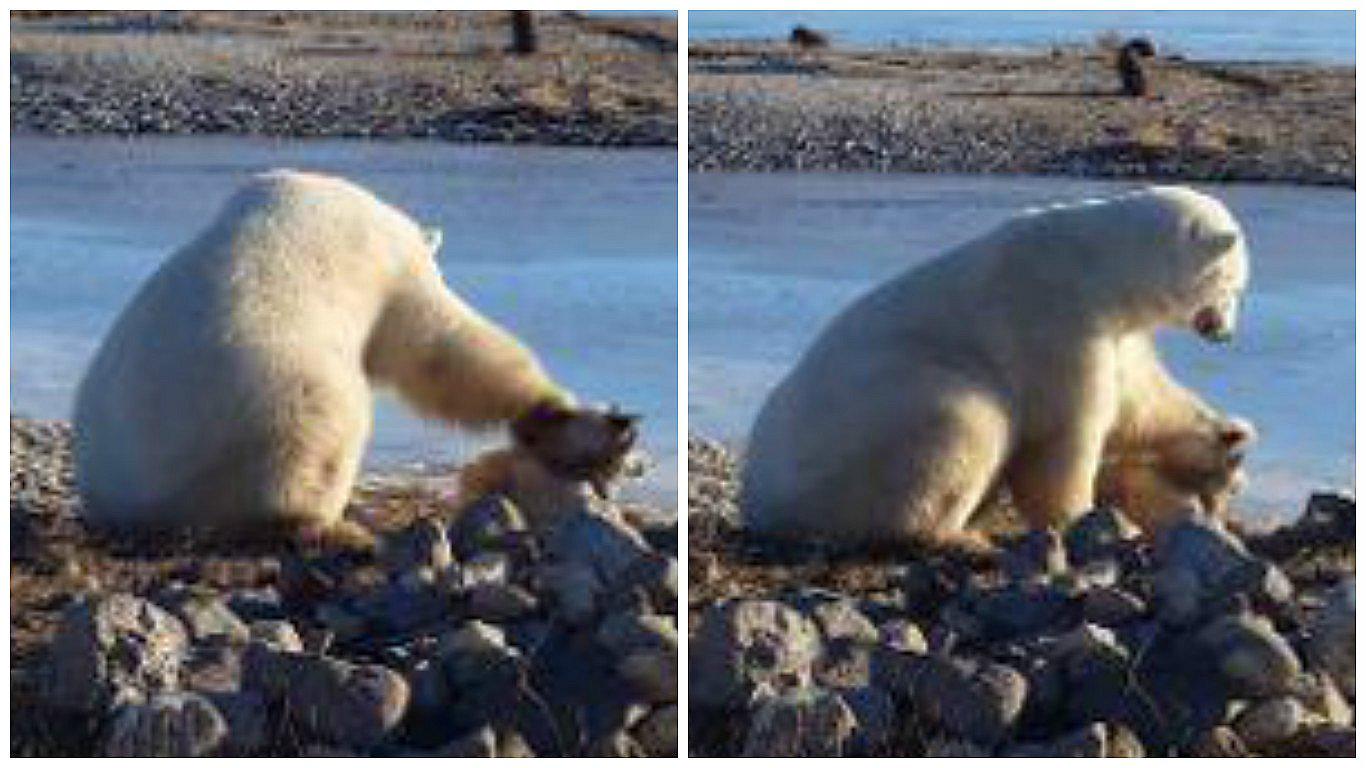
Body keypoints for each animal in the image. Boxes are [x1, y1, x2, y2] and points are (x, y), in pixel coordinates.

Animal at [73, 169, 634, 547]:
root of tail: (141, 501)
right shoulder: (391, 267)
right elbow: (438, 347)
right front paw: (567, 416)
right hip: (270, 393)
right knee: (320, 429)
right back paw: (334, 525)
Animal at [740, 185, 1252, 549]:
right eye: (1234, 284)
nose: (1227, 334)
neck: (1098, 266)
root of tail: (759, 501)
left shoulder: (1114, 335)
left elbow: (1139, 403)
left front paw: (1228, 433)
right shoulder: (1056, 321)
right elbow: (1063, 436)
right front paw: (1088, 521)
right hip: (872, 430)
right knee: (967, 421)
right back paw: (963, 536)